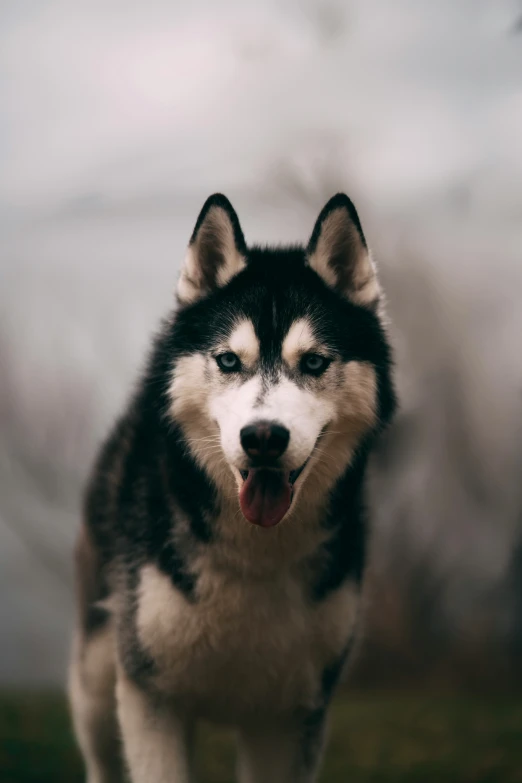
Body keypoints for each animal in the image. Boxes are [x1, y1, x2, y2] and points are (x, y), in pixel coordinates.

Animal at [68, 191, 394, 783]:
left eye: (314, 361)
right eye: (227, 360)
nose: (263, 437)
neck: (256, 554)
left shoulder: (290, 716)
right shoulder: (151, 699)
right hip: (97, 686)